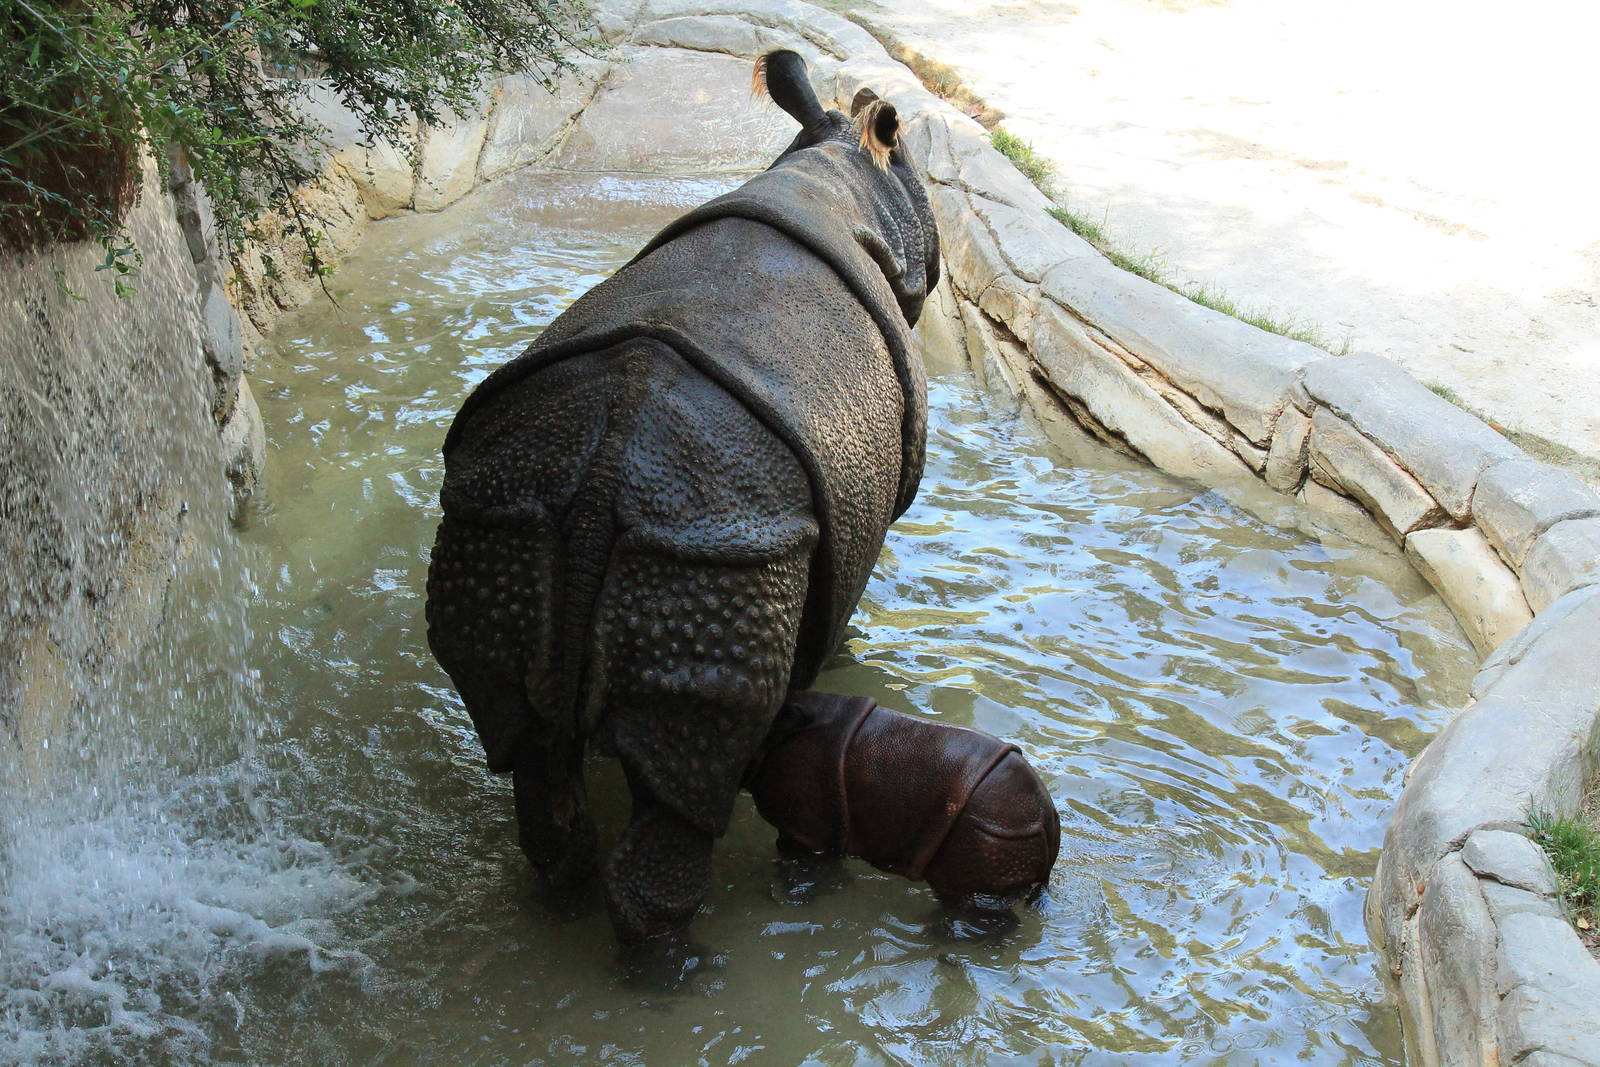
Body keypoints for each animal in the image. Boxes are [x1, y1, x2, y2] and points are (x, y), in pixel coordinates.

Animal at [426, 50, 1057, 949]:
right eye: (919, 178)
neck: (844, 167)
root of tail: (607, 466)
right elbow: (841, 603)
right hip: (716, 542)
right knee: (688, 788)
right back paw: (681, 962)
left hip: (511, 508)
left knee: (525, 741)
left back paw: (559, 901)